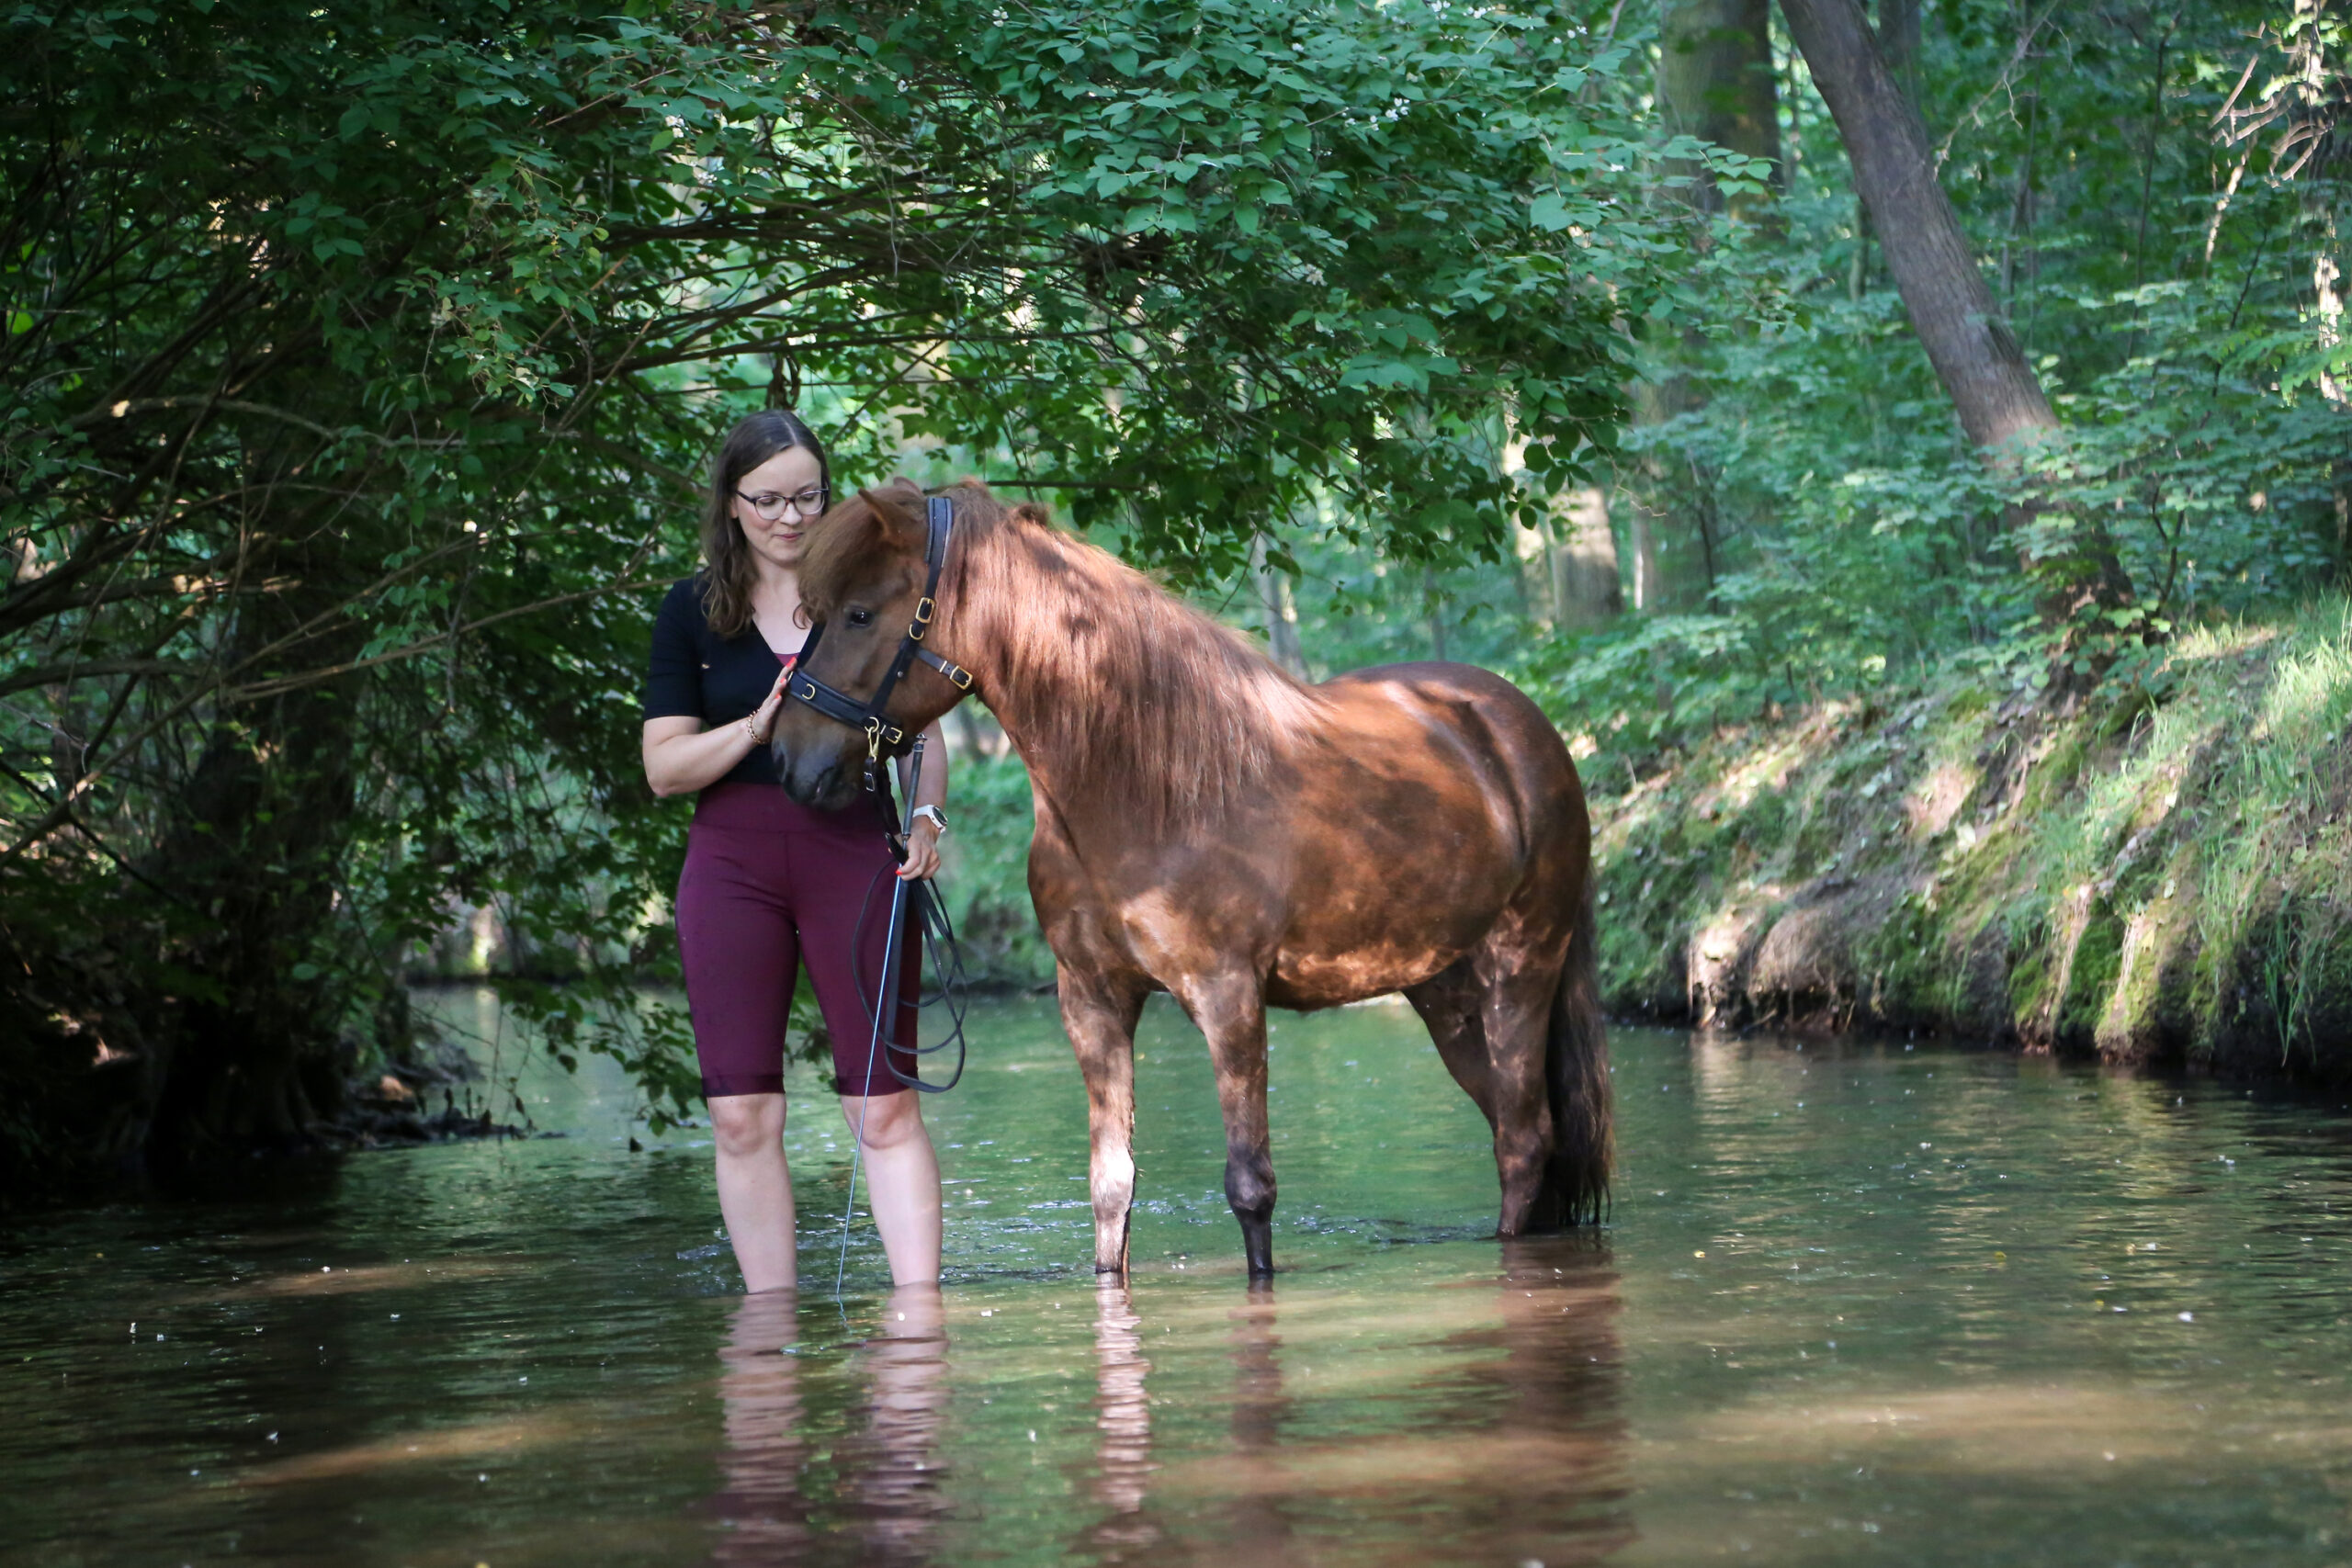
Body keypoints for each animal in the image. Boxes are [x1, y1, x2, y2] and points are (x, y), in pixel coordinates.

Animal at [780, 484, 1609, 1279]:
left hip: (1521, 964)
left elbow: (1251, 1187)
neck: (1143, 789)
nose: (790, 761)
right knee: (1513, 1128)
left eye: (859, 612)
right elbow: (1111, 1187)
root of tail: (1516, 726)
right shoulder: (1092, 1002)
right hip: (1444, 990)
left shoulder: (1228, 996)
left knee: (1524, 1138)